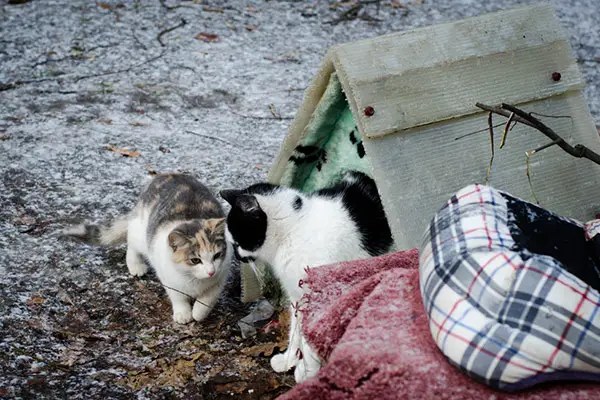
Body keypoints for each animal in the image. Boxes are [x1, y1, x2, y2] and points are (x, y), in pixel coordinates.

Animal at [63, 173, 232, 324]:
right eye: (195, 260)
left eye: (217, 255)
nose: (211, 272)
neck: (193, 279)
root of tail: (167, 174)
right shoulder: (168, 277)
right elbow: (177, 296)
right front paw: (183, 313)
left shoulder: (221, 273)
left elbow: (208, 298)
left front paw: (198, 312)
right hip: (142, 233)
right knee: (131, 238)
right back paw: (135, 265)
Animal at [220, 169, 394, 382]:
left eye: (237, 242)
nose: (237, 256)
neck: (294, 230)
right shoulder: (297, 296)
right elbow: (296, 331)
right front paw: (289, 360)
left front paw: (307, 373)